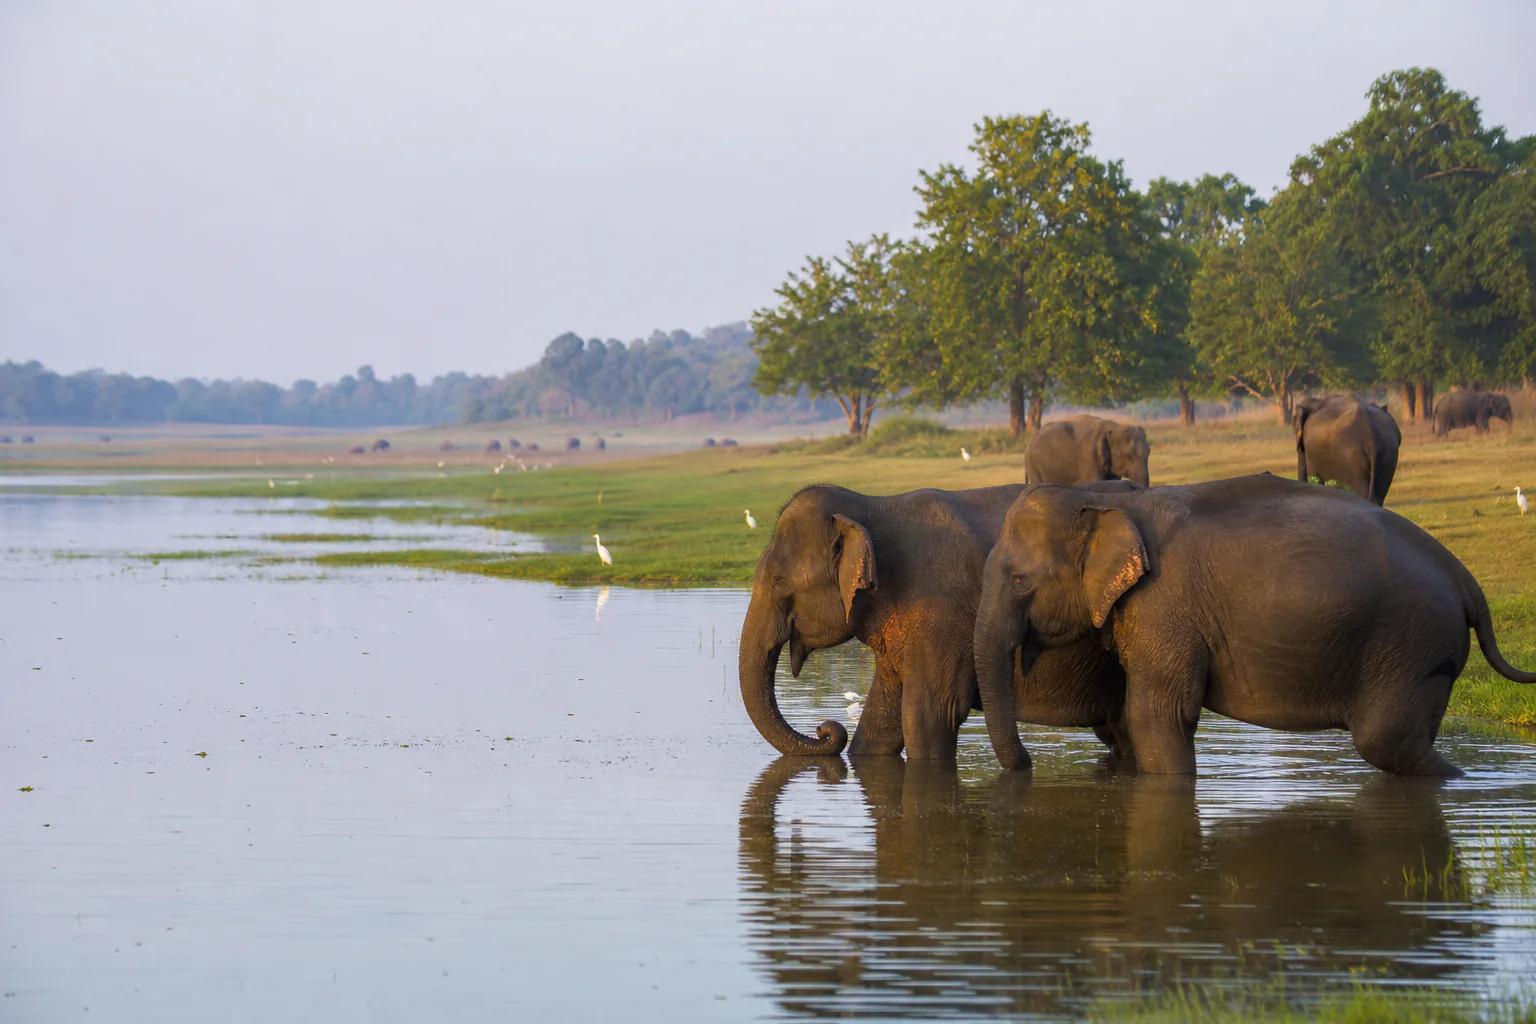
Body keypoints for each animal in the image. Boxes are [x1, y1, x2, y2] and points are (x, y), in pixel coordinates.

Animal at [738, 482, 1138, 761]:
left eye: (778, 581)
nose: (826, 731)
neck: (872, 504)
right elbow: (880, 724)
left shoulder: (941, 613)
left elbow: (928, 716)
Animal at [974, 474, 1536, 776]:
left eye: (1020, 579)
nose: (1027, 766)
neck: (1111, 502)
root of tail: (1465, 579)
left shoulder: (1164, 608)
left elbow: (1158, 716)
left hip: (1409, 642)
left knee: (1386, 741)